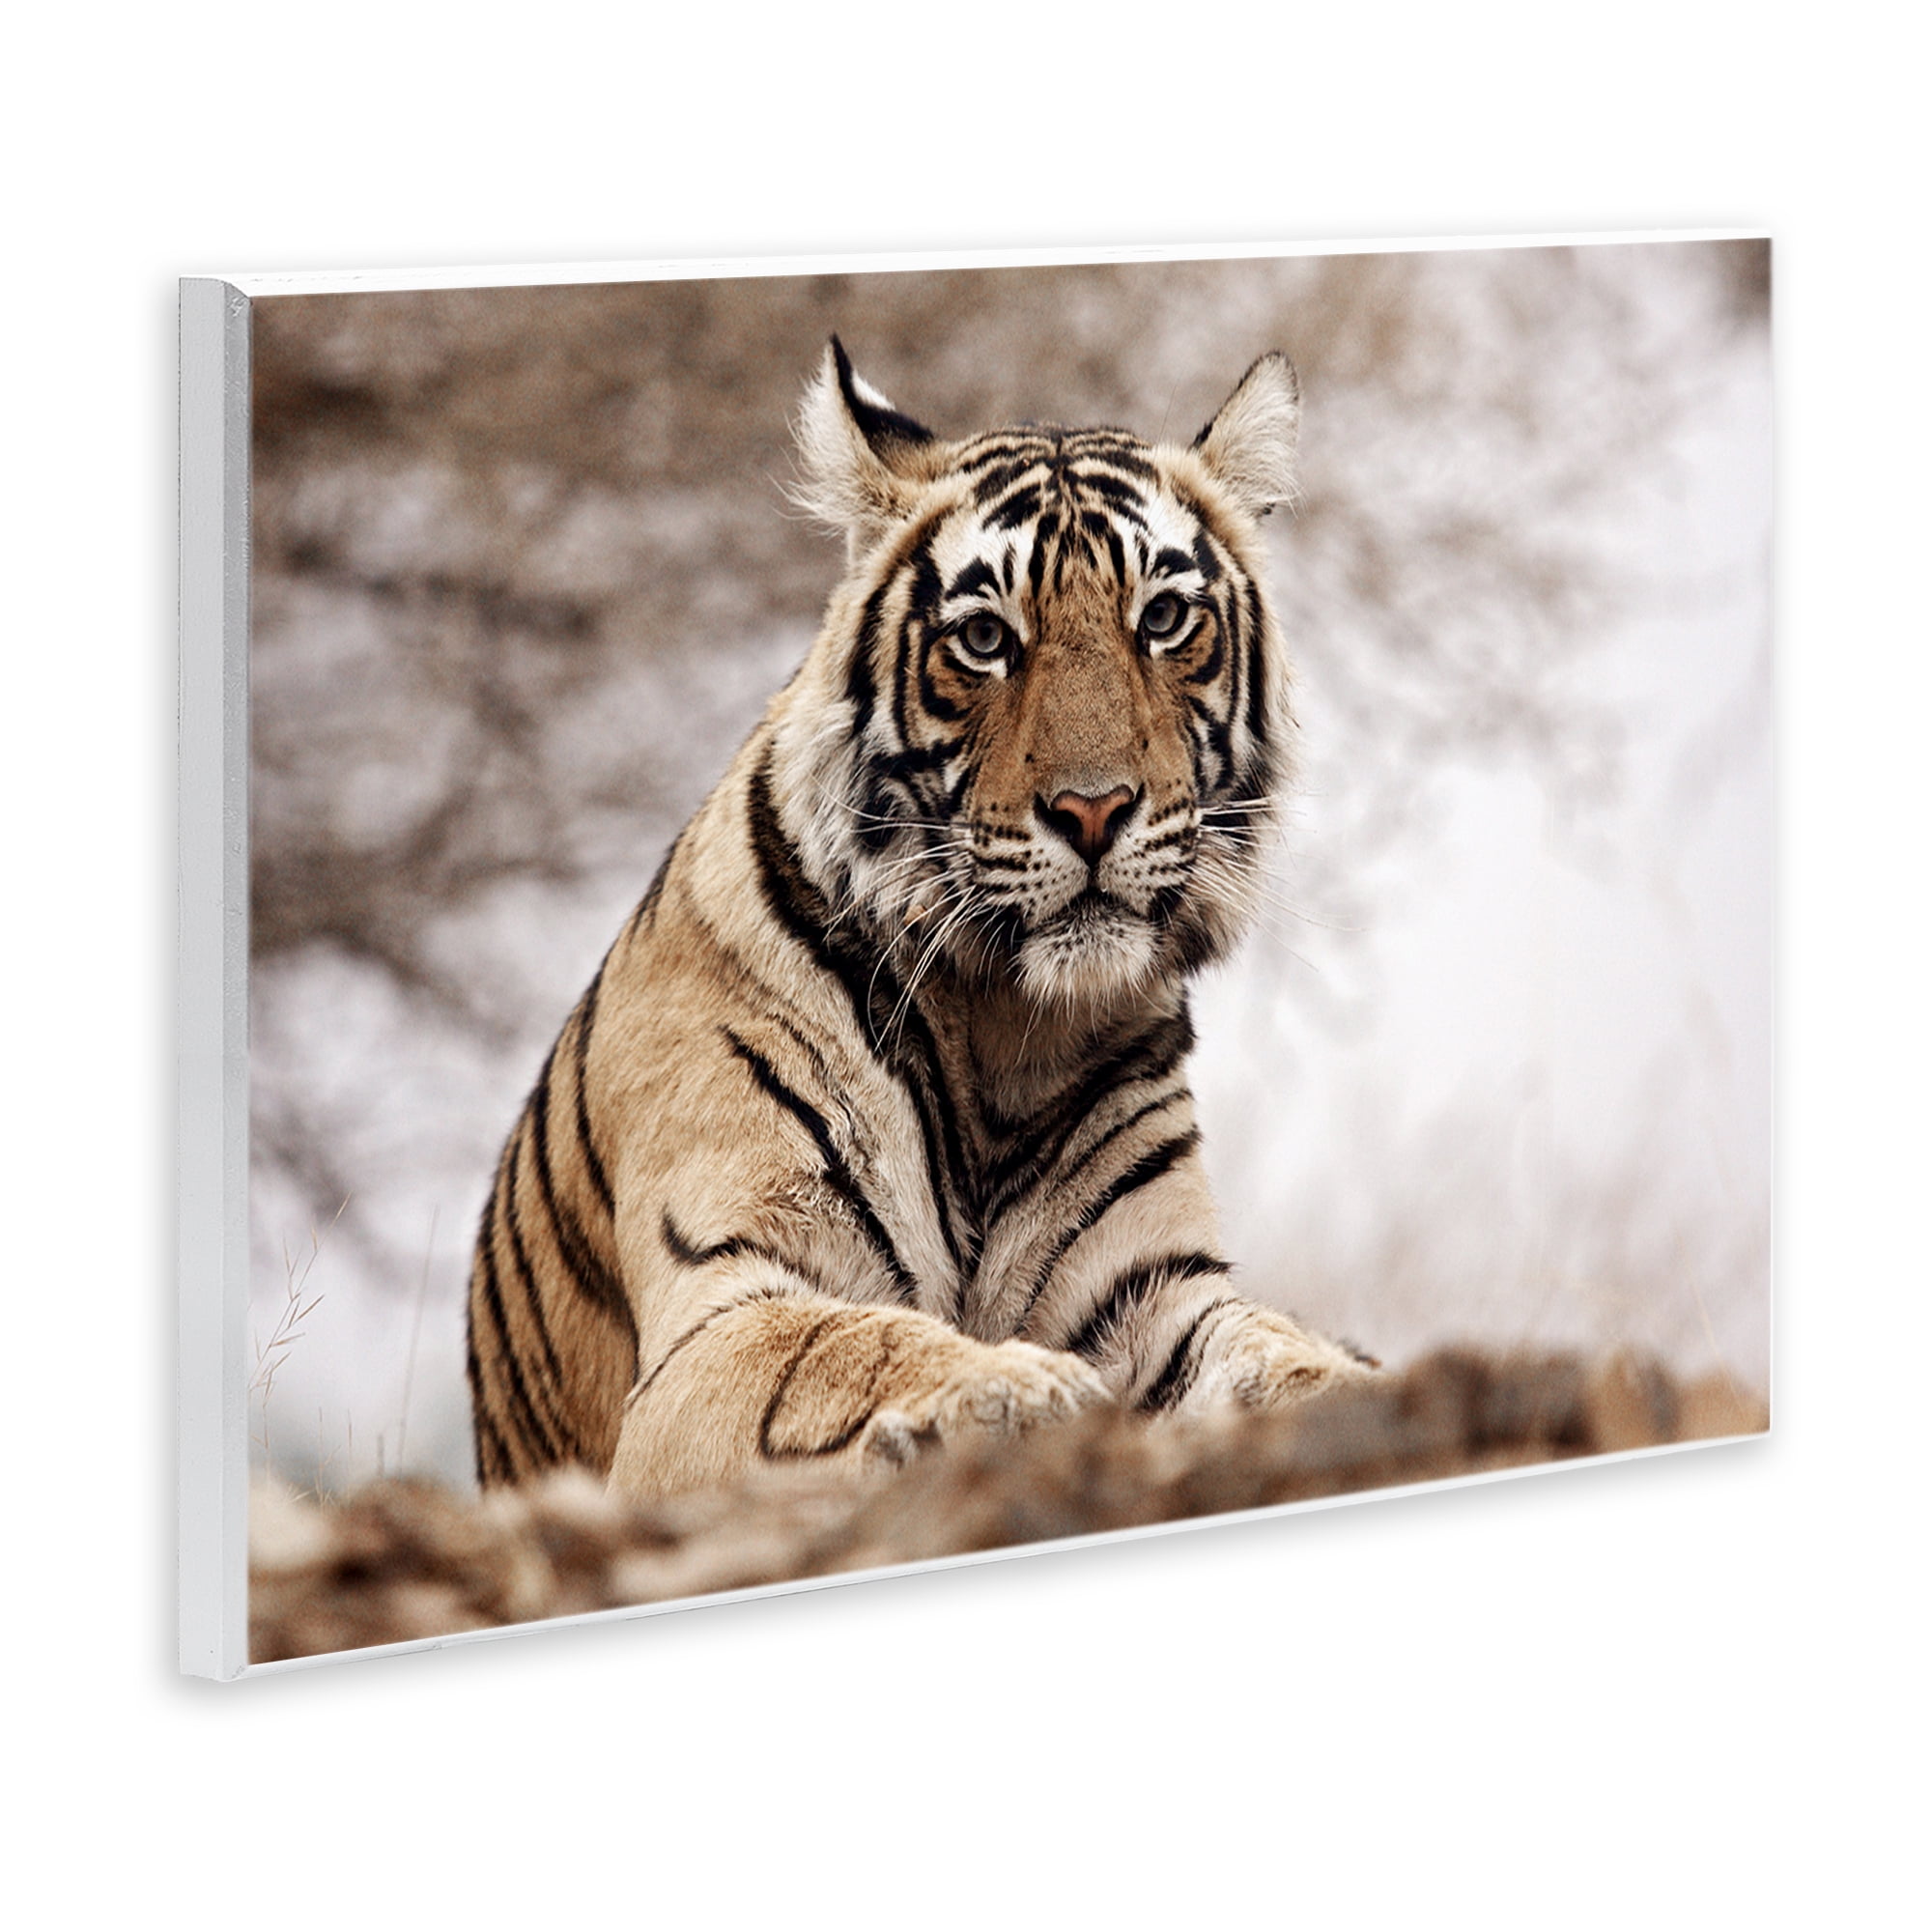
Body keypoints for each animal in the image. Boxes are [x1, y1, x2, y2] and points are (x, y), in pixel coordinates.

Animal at [466, 338, 1374, 1501]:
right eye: (984, 638)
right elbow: (848, 1345)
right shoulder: (720, 1309)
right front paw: (1015, 1387)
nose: (1094, 808)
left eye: (1164, 620)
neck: (1005, 1032)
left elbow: (1274, 1351)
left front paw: (1354, 1385)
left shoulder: (1158, 1292)